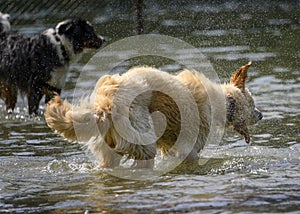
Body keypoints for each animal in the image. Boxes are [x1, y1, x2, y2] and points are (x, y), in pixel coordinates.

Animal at [44, 62, 262, 168]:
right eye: (252, 104)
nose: (261, 116)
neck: (223, 103)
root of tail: (105, 106)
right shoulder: (187, 150)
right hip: (143, 141)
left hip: (111, 149)